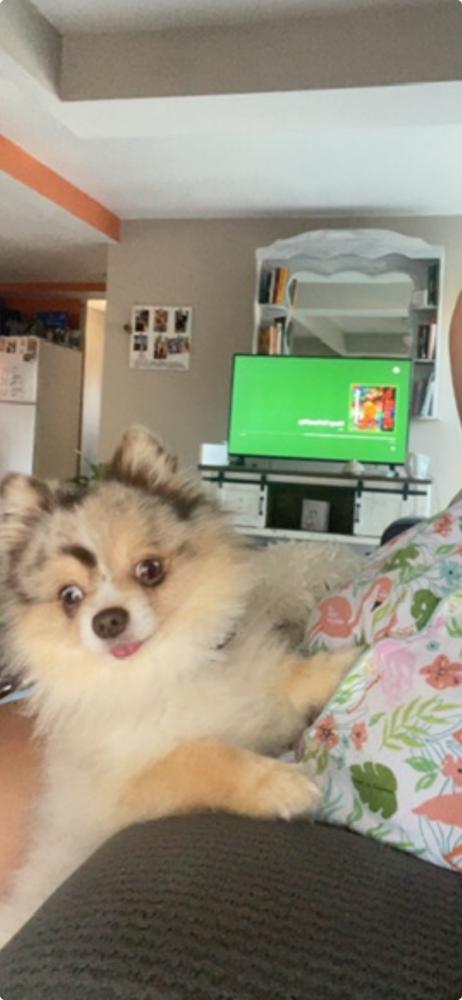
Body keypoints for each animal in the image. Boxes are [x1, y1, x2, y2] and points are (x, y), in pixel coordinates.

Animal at [0, 426, 360, 946]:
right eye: (70, 597)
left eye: (150, 570)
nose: (107, 621)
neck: (166, 669)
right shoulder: (126, 792)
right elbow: (202, 756)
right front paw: (281, 785)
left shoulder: (257, 688)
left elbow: (293, 678)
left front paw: (354, 660)